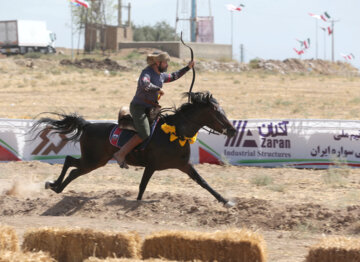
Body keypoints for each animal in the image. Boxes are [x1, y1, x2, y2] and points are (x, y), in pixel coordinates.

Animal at [32, 91, 238, 207]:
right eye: (218, 113)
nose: (233, 130)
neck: (175, 133)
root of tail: (88, 125)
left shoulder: (184, 165)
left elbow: (203, 182)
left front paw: (225, 201)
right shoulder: (151, 166)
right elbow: (142, 187)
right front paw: (136, 204)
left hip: (95, 161)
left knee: (73, 167)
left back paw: (56, 187)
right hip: (92, 160)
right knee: (70, 163)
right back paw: (54, 185)